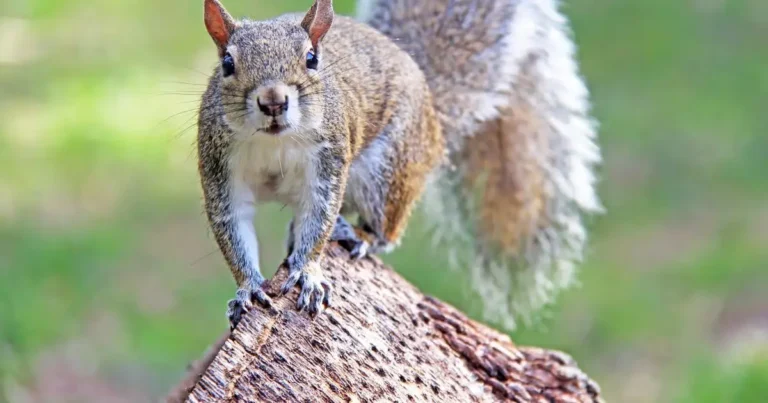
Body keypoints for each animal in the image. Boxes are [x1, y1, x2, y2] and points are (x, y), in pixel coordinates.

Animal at [197, 0, 602, 331]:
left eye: (311, 58)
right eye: (227, 63)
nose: (273, 101)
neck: (274, 142)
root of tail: (433, 120)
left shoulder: (329, 162)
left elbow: (319, 218)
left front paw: (307, 273)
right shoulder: (220, 169)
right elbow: (233, 230)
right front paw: (248, 289)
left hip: (387, 171)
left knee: (385, 232)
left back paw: (358, 235)